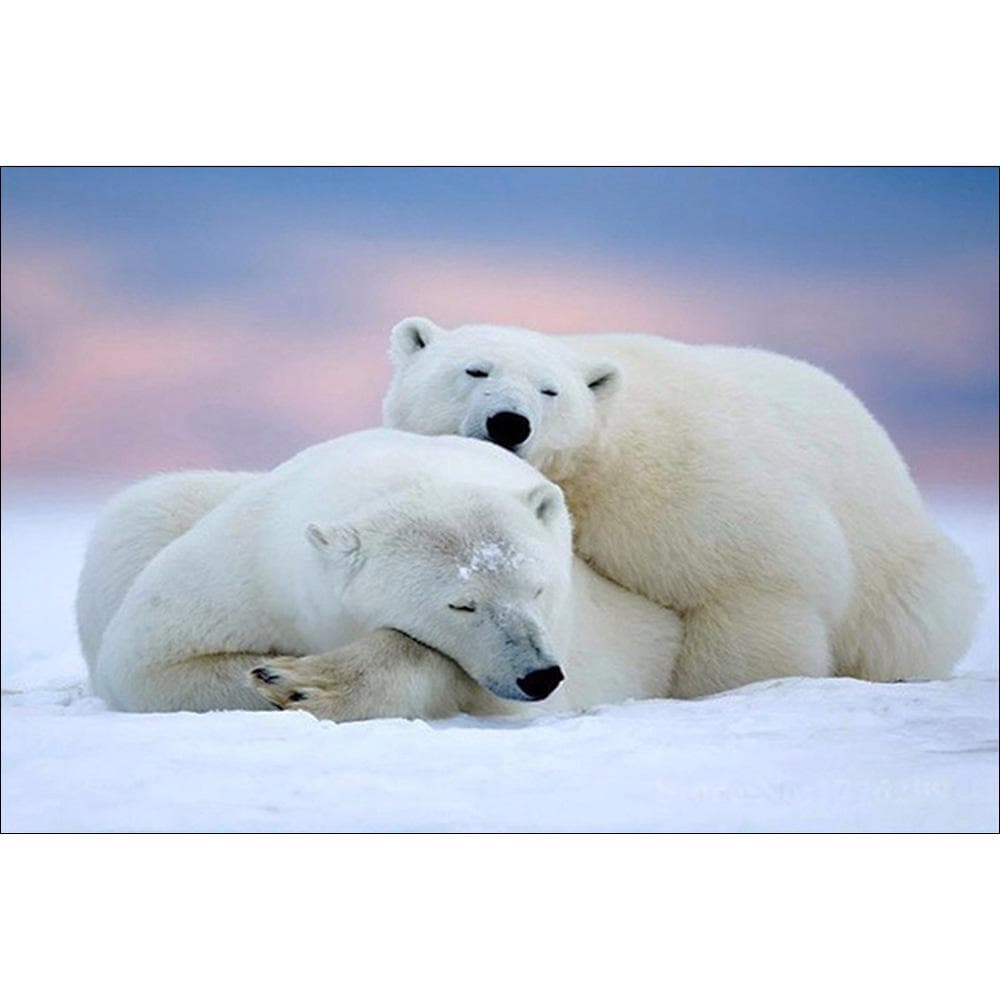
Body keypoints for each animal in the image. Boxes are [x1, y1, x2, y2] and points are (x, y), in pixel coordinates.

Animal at [76, 429, 681, 720]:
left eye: (538, 588)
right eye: (462, 604)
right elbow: (150, 662)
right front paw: (278, 675)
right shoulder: (250, 567)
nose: (539, 674)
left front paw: (304, 682)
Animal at [382, 317, 980, 697]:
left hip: (901, 571)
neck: (601, 463)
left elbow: (754, 585)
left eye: (550, 391)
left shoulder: (688, 487)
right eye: (475, 370)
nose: (509, 422)